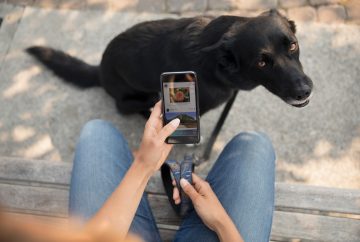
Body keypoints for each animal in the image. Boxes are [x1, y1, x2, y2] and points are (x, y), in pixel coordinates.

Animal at [26, 8, 312, 116]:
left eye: (293, 45)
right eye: (261, 63)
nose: (304, 91)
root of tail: (100, 70)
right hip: (135, 97)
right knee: (124, 107)